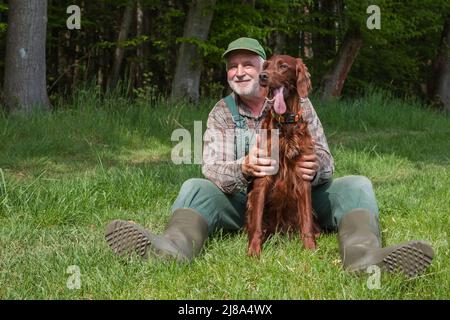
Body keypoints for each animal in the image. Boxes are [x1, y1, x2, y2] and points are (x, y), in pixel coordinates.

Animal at [244, 53, 318, 256]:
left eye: (283, 66)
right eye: (266, 66)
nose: (262, 76)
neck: (286, 124)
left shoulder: (303, 175)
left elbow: (306, 221)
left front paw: (310, 248)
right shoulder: (263, 173)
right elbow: (256, 225)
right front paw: (254, 251)